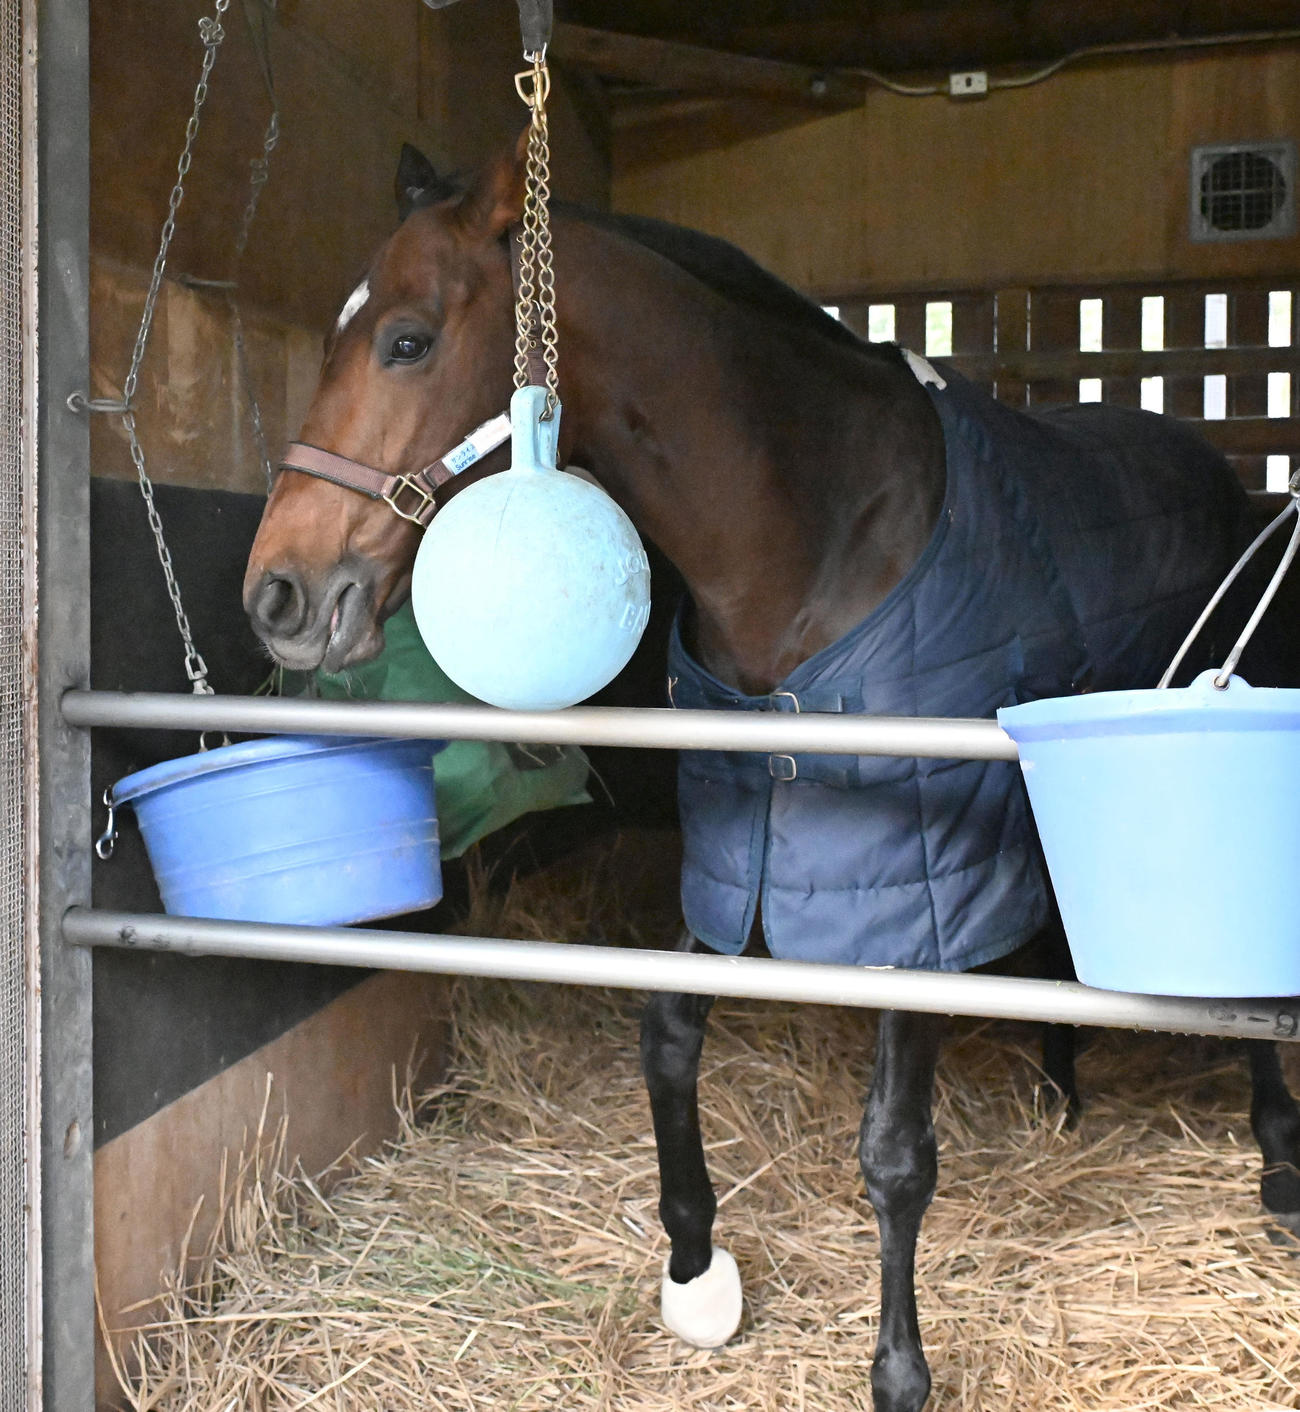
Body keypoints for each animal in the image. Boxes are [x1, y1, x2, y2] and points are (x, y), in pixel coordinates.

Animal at [242, 137, 1300, 1412]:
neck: (822, 534)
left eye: (406, 339)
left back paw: (1275, 1149)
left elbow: (894, 1150)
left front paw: (898, 1369)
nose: (278, 595)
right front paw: (693, 1264)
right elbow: (666, 1032)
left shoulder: (905, 894)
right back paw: (1059, 1087)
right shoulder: (743, 847)